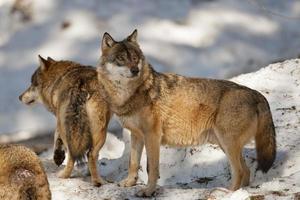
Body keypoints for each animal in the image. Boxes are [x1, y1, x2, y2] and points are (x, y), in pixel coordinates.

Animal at [19, 55, 111, 186]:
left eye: (32, 84)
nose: (19, 97)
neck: (58, 79)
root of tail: (80, 86)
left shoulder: (60, 121)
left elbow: (56, 136)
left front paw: (58, 156)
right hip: (101, 132)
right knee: (89, 154)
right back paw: (95, 180)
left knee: (77, 154)